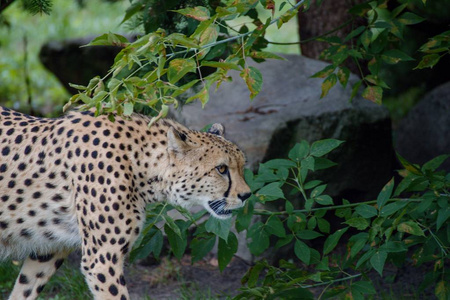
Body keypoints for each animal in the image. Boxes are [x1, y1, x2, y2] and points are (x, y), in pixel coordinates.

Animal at [0, 106, 250, 298]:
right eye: (221, 169)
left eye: (241, 165)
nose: (246, 195)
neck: (140, 163)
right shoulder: (102, 259)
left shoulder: (49, 250)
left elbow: (23, 290)